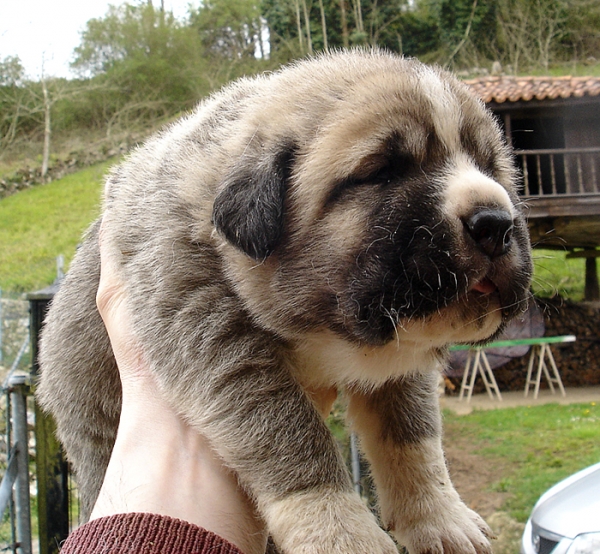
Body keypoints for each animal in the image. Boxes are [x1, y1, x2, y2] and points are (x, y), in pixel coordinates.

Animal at [37, 49, 532, 548]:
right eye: (382, 171)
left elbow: (414, 435)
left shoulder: (402, 358)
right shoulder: (208, 328)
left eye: (491, 170)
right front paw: (340, 532)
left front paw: (439, 516)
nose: (496, 223)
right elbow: (288, 434)